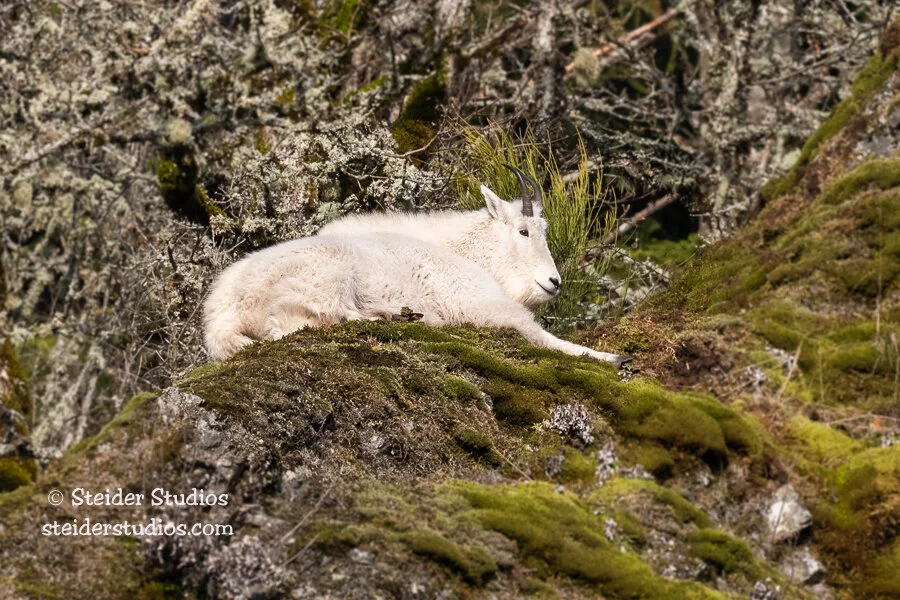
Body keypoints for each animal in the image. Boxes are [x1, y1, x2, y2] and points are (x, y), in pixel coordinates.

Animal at [203, 168, 630, 365]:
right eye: (524, 231)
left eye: (544, 230)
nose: (553, 282)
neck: (465, 251)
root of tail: (223, 314)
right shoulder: (477, 301)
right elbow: (536, 333)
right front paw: (613, 357)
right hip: (326, 278)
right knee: (303, 322)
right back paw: (401, 316)